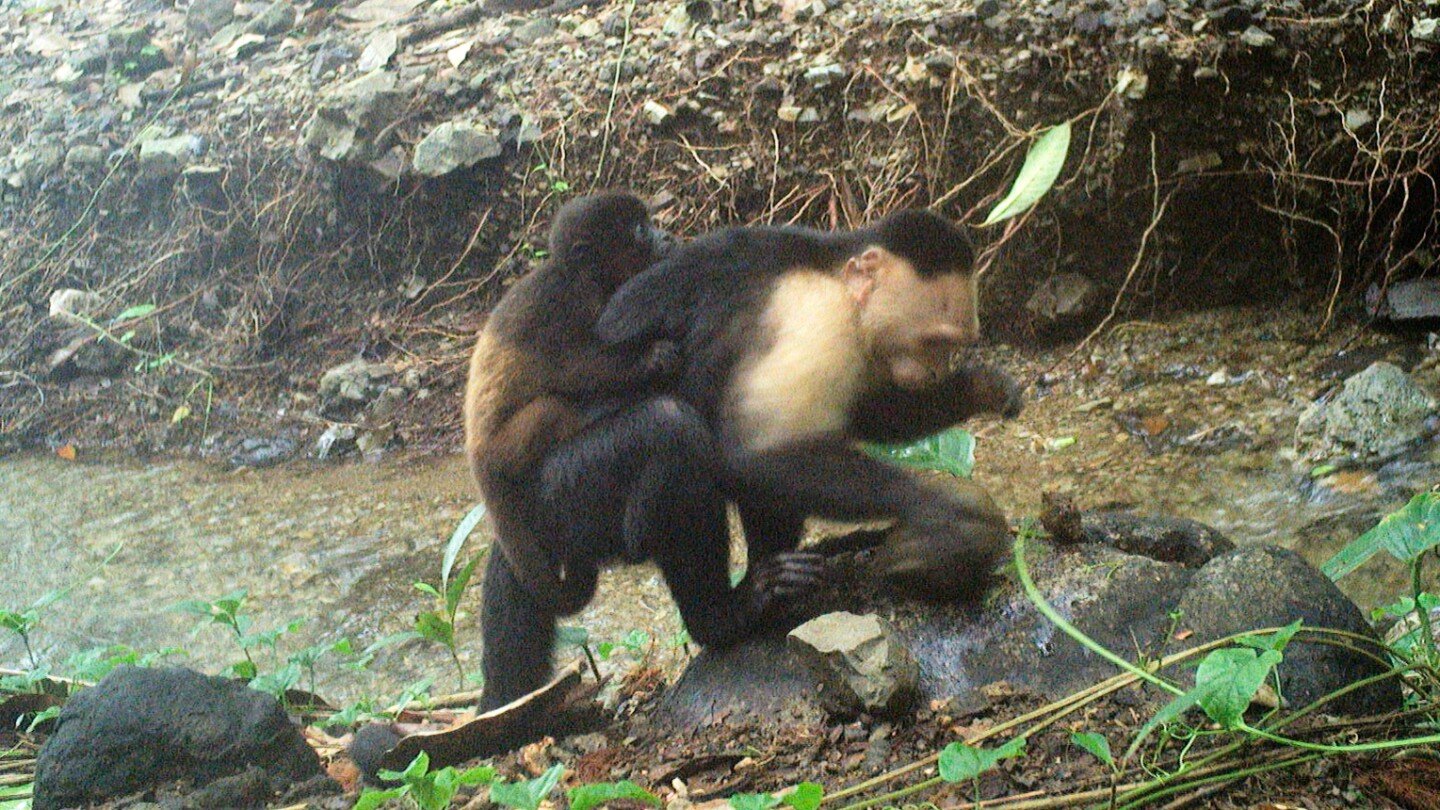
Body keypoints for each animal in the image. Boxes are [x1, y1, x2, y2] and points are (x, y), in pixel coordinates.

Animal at [464, 191, 679, 613]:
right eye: (640, 229)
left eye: (649, 223)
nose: (665, 235)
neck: (585, 276)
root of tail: (476, 458)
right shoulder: (570, 303)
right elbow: (572, 368)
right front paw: (653, 357)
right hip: (504, 447)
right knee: (551, 406)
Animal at [595, 208, 1024, 605]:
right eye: (934, 342)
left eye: (954, 346)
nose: (936, 373)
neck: (835, 275)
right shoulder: (818, 319)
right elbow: (758, 454)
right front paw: (946, 513)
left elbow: (871, 415)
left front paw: (982, 387)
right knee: (678, 435)